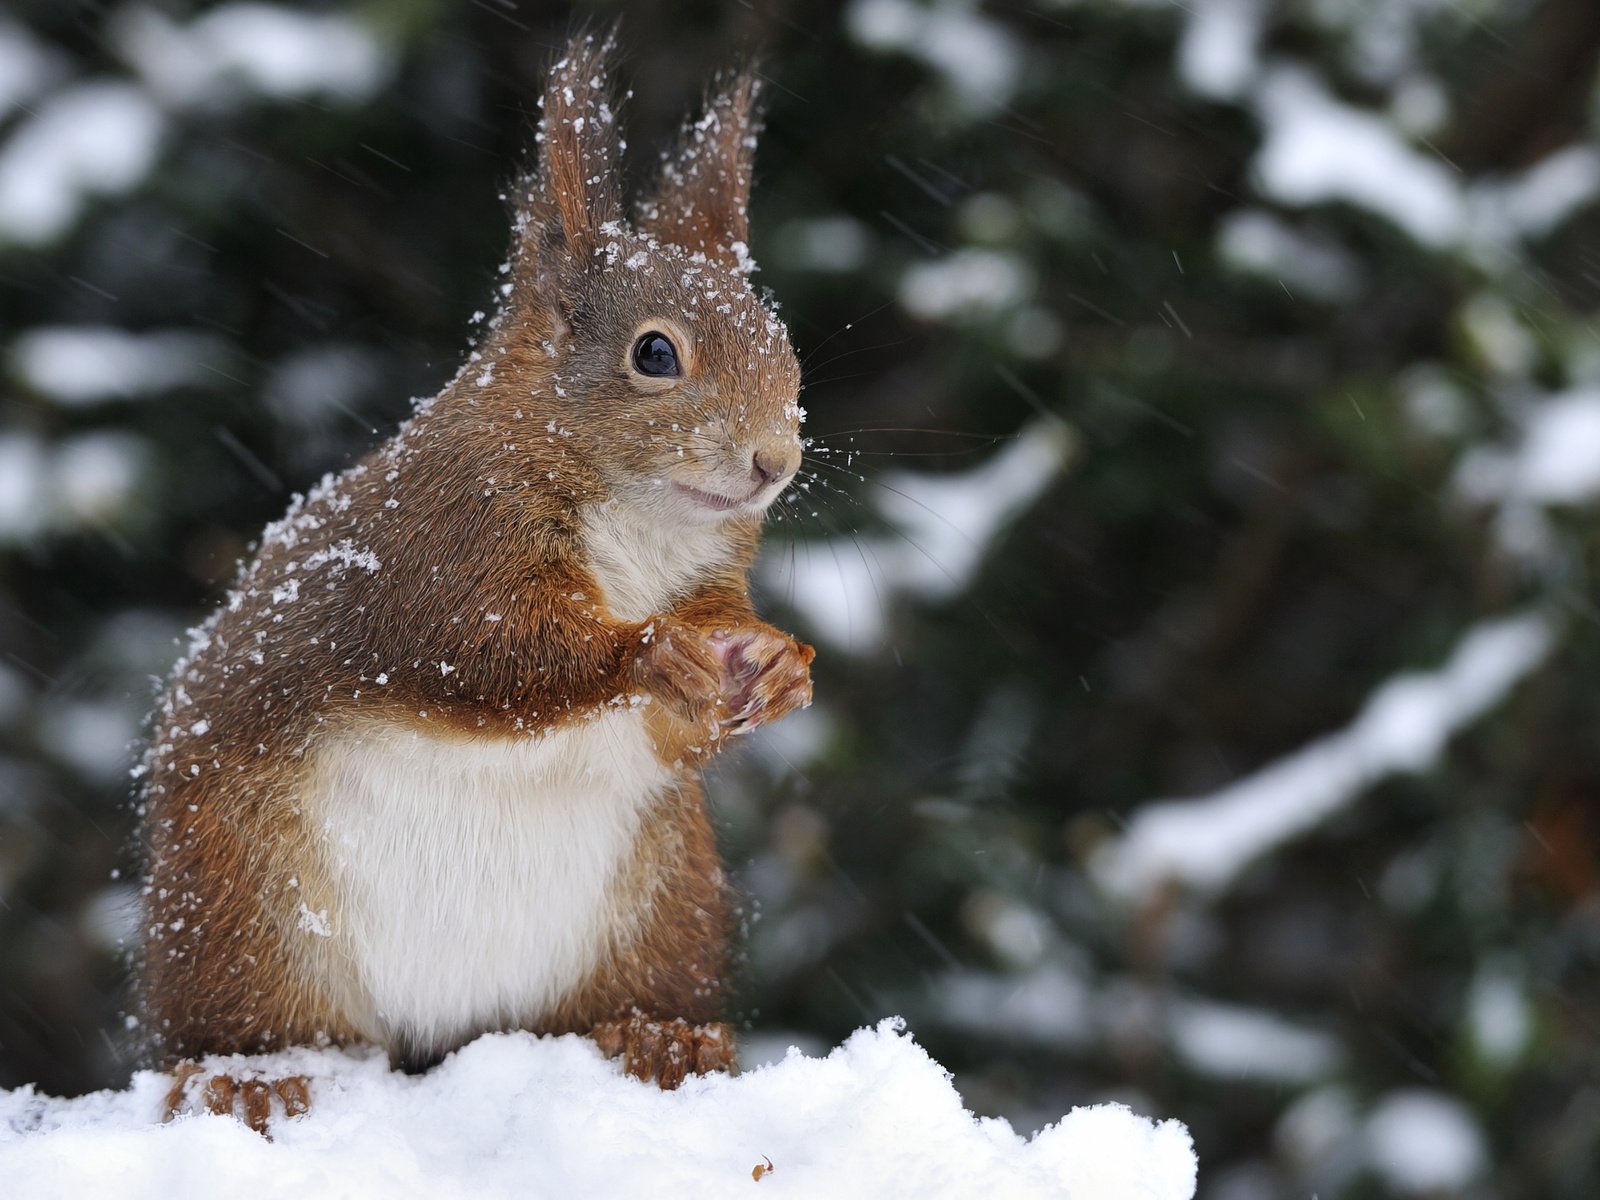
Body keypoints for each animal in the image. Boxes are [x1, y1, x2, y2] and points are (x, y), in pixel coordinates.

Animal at [136, 30, 812, 1139]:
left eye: (780, 339)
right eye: (654, 353)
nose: (774, 461)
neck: (640, 533)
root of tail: (441, 1031)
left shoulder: (709, 585)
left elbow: (680, 728)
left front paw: (782, 669)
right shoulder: (439, 553)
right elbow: (489, 658)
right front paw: (647, 653)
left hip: (664, 908)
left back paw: (660, 1037)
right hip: (239, 911)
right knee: (244, 1021)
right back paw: (249, 1075)